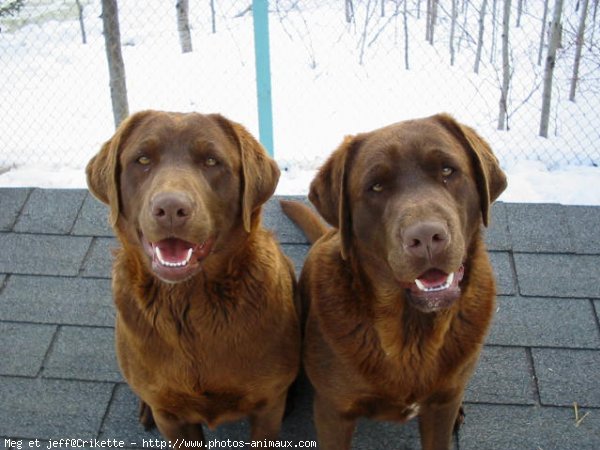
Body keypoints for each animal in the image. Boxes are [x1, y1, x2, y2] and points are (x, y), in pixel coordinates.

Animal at [85, 110, 300, 442]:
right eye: (142, 159)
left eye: (211, 161)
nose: (171, 207)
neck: (188, 303)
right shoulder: (172, 417)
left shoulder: (268, 406)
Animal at [282, 114, 506, 450]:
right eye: (376, 186)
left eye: (447, 170)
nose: (426, 237)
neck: (411, 334)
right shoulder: (334, 412)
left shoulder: (440, 408)